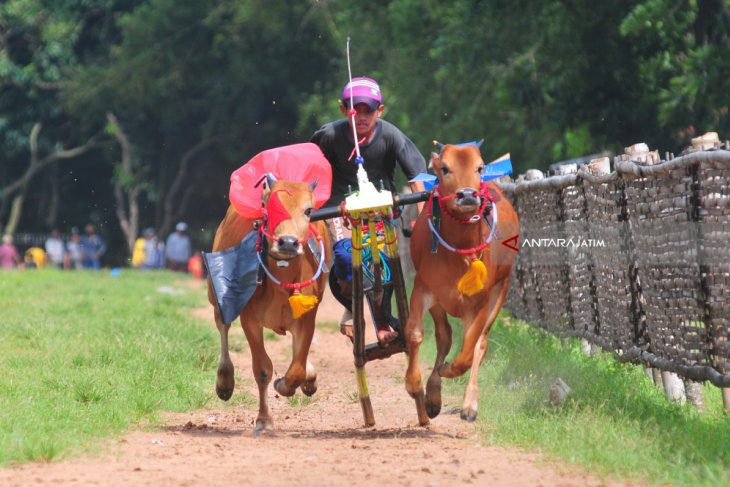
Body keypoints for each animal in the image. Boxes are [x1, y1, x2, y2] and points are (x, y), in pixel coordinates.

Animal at [206, 176, 328, 434]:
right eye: (269, 208)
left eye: (308, 210)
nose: (288, 243)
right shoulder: (249, 318)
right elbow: (262, 370)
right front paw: (264, 421)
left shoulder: (308, 316)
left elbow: (297, 367)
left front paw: (287, 383)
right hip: (215, 293)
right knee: (222, 325)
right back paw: (225, 380)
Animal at [404, 143, 516, 426]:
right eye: (445, 168)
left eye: (480, 167)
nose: (467, 195)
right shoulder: (423, 288)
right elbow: (415, 334)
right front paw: (415, 384)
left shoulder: (481, 300)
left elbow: (468, 351)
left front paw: (449, 371)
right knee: (444, 337)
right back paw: (432, 397)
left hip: (502, 289)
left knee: (479, 344)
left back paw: (468, 404)